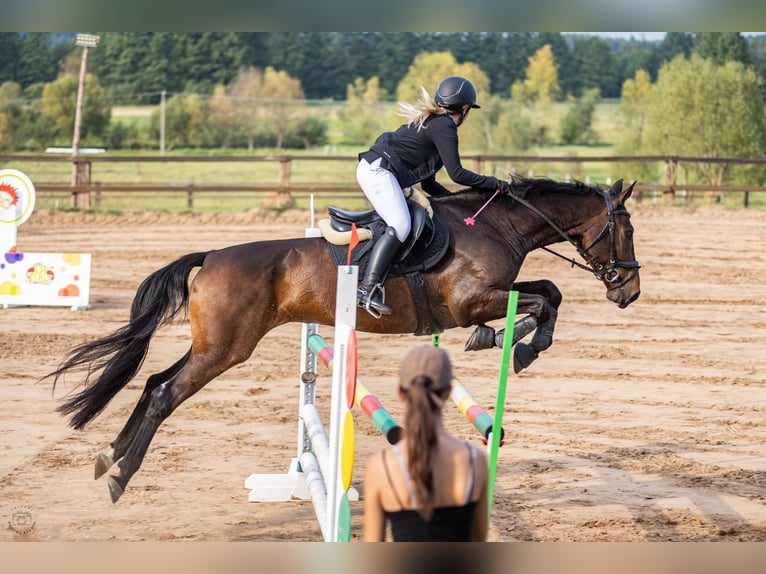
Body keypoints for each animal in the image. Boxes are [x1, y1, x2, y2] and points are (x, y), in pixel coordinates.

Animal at [45, 175, 640, 503]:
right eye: (628, 229)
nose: (629, 291)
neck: (498, 226)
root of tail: (210, 256)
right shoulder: (472, 300)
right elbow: (544, 298)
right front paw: (520, 344)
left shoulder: (489, 296)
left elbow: (547, 293)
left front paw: (499, 339)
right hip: (225, 350)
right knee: (165, 393)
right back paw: (121, 477)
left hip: (214, 346)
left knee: (151, 383)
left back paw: (107, 457)